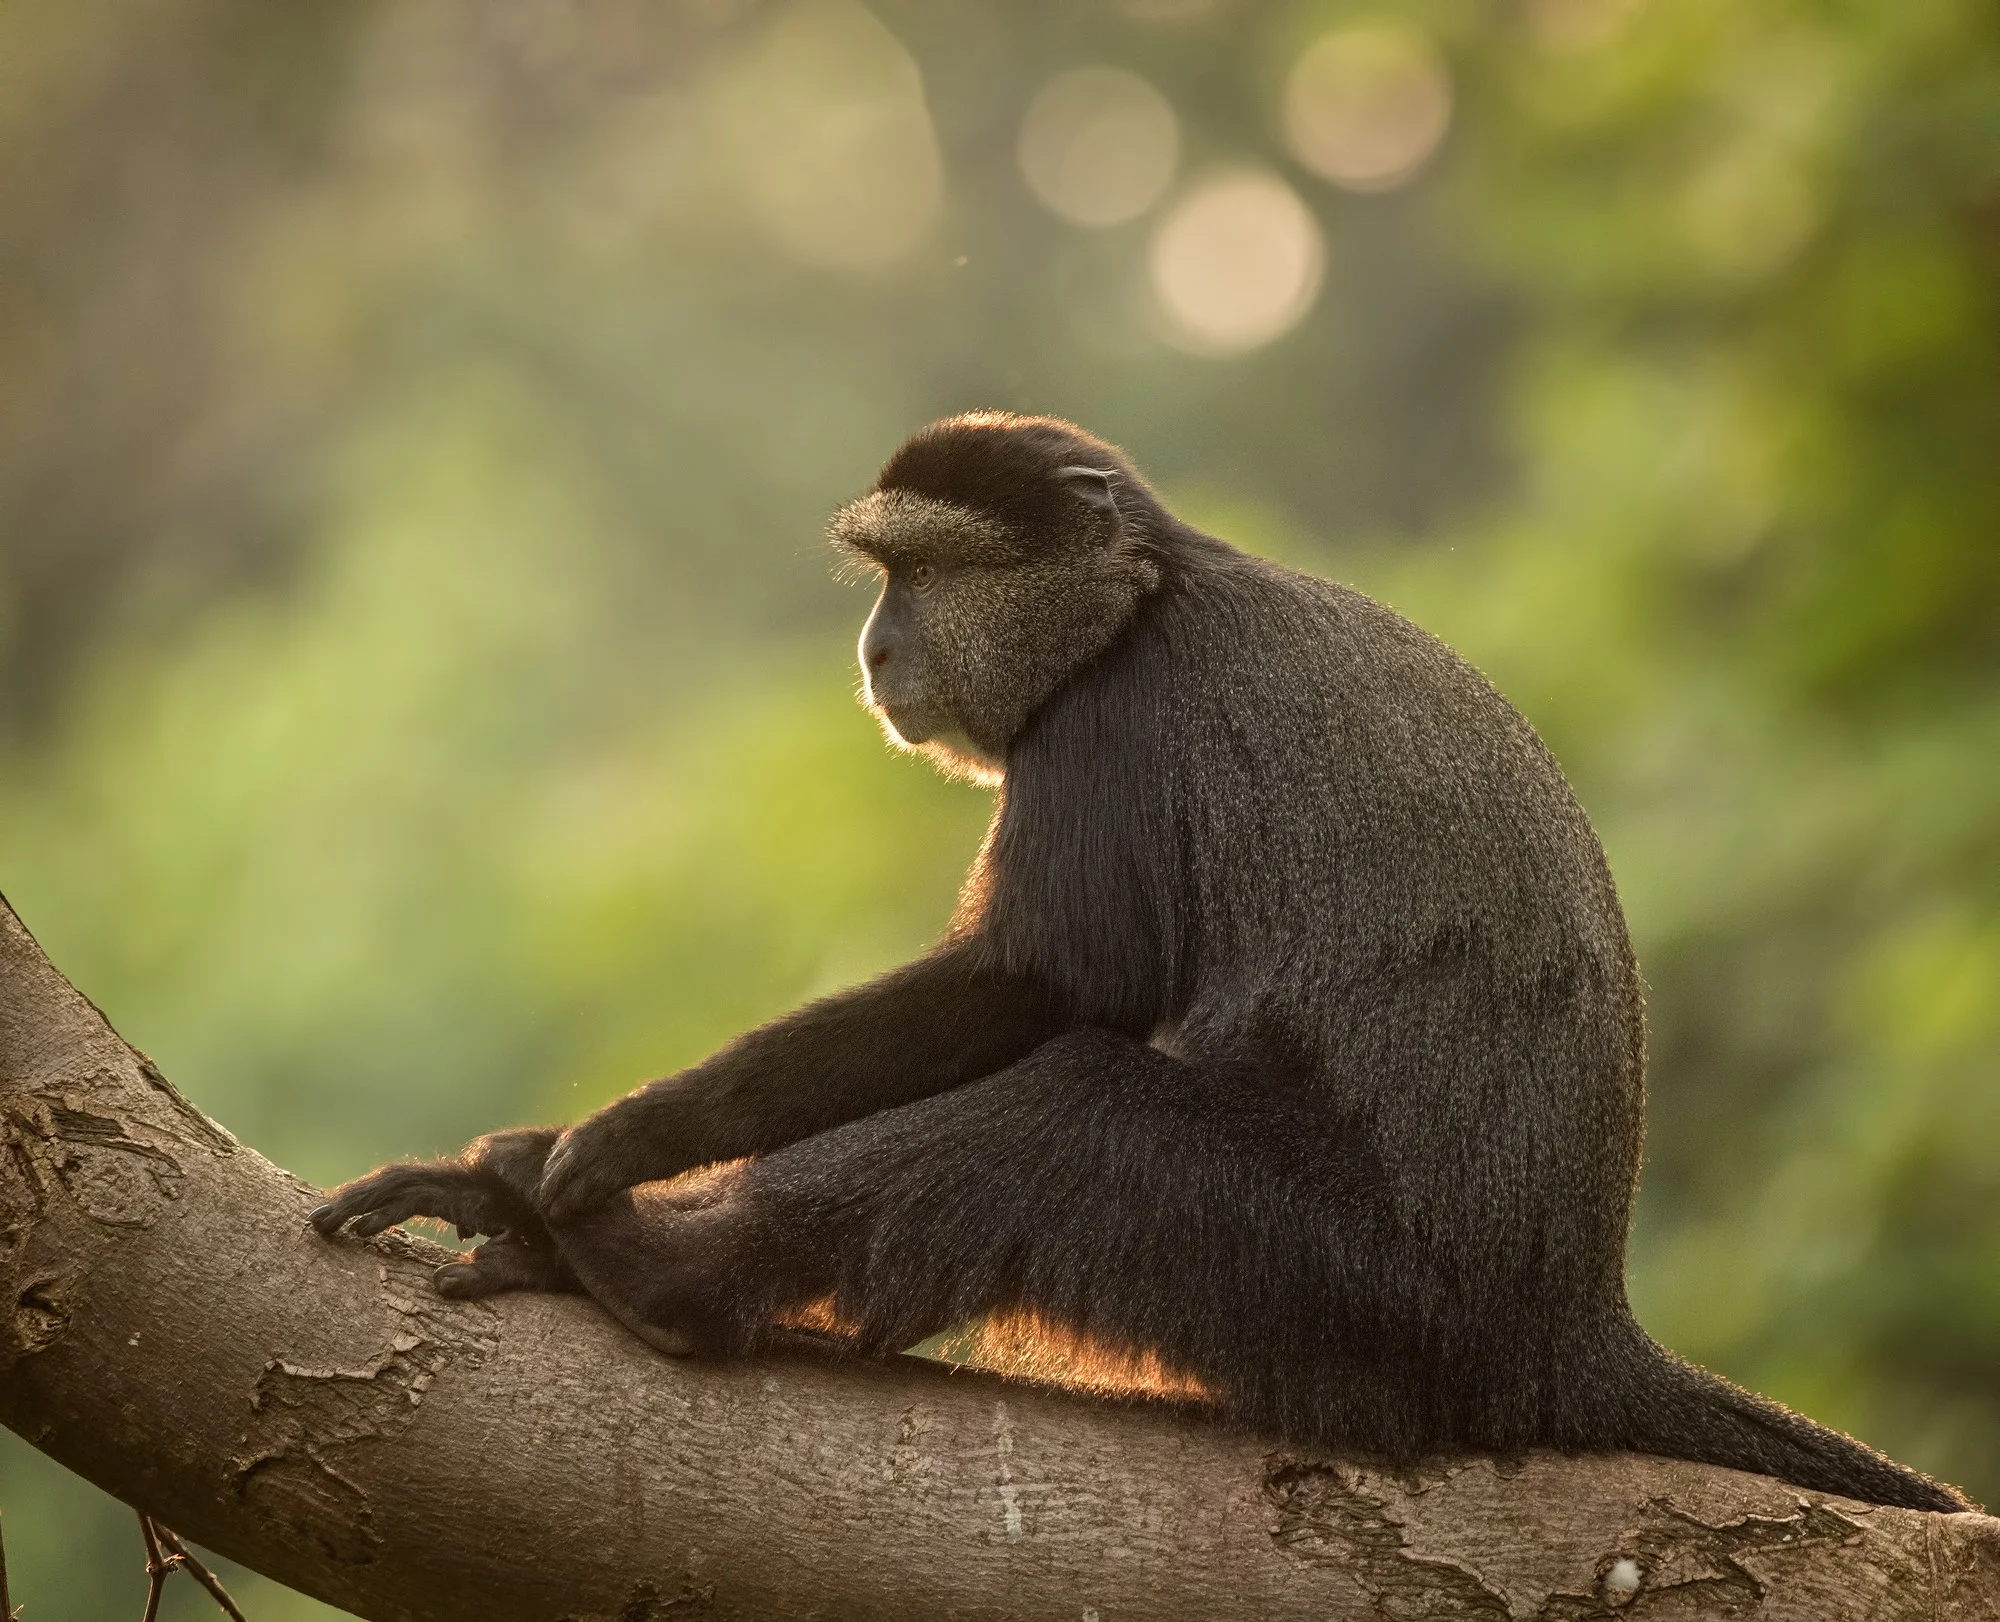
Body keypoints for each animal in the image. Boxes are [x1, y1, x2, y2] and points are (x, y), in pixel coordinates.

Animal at [312, 411, 1971, 1514]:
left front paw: (616, 1142)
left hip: (1338, 1286)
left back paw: (658, 1272)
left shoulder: (1107, 732)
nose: (875, 652)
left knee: (1073, 1110)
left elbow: (1035, 993)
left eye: (923, 573)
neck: (1146, 594)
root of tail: (1564, 1326)